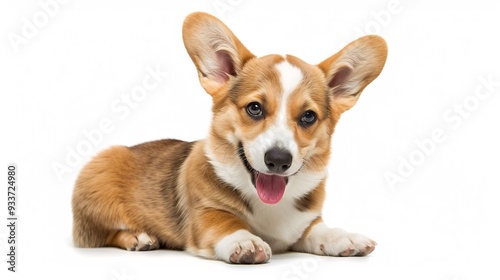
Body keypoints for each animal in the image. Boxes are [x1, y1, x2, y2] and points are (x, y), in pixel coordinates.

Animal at [72, 11, 388, 264]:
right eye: (254, 108)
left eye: (308, 117)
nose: (278, 160)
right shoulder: (205, 213)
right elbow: (225, 222)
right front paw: (244, 240)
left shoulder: (305, 222)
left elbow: (319, 229)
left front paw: (344, 237)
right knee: (106, 233)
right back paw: (139, 238)